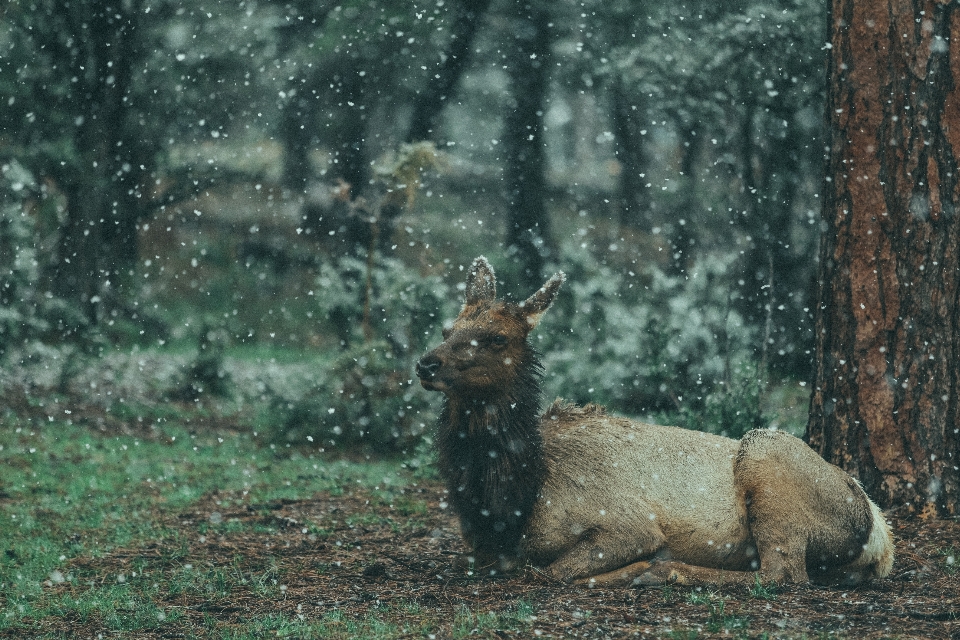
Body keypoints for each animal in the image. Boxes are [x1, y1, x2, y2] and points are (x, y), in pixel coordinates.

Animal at [416, 258, 896, 588]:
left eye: (497, 338)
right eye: (446, 329)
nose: (426, 363)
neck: (514, 500)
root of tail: (880, 535)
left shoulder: (627, 524)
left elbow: (551, 570)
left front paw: (639, 567)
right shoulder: (481, 547)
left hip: (767, 455)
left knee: (783, 573)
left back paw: (668, 572)